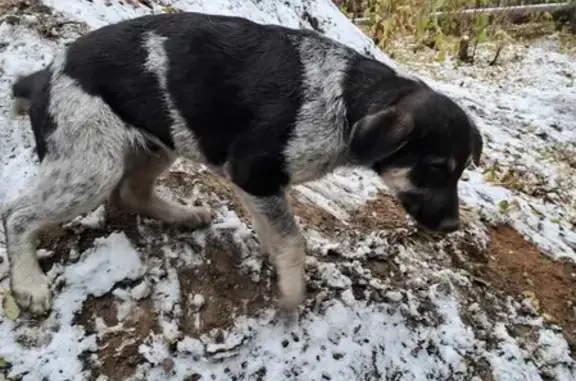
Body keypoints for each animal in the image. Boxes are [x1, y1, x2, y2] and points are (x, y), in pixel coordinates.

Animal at [2, 11, 484, 314]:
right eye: (435, 167)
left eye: (461, 171)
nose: (452, 228)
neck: (346, 99)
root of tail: (44, 74)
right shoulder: (254, 173)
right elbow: (292, 240)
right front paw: (292, 292)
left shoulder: (253, 183)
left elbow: (274, 233)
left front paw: (277, 268)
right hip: (90, 167)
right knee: (18, 215)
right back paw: (28, 284)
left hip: (162, 142)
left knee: (132, 193)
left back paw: (183, 215)